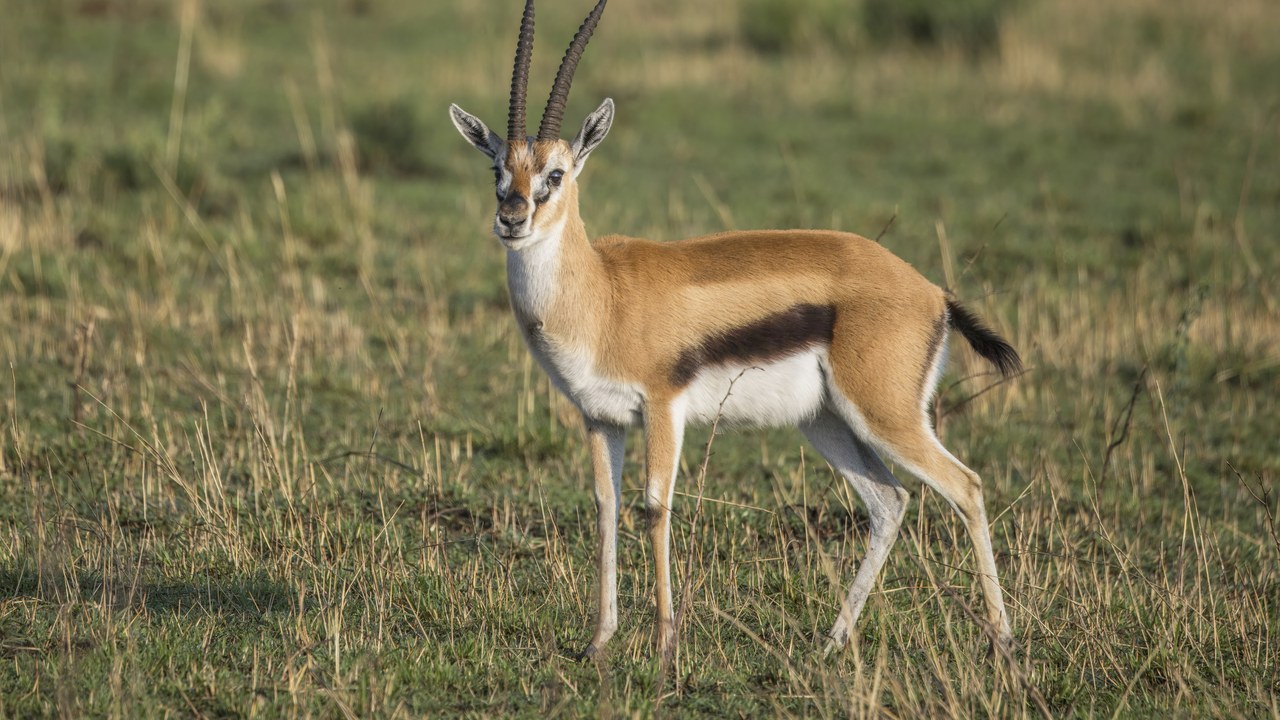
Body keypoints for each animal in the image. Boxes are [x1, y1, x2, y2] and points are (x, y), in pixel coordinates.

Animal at [448, 0, 1022, 661]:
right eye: (498, 167)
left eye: (557, 173)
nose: (511, 219)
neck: (602, 294)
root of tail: (933, 293)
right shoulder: (599, 416)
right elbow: (604, 507)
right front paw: (597, 643)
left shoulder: (662, 406)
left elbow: (655, 507)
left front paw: (665, 645)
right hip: (826, 419)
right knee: (890, 501)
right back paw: (832, 642)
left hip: (885, 414)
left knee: (967, 487)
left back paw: (1003, 641)